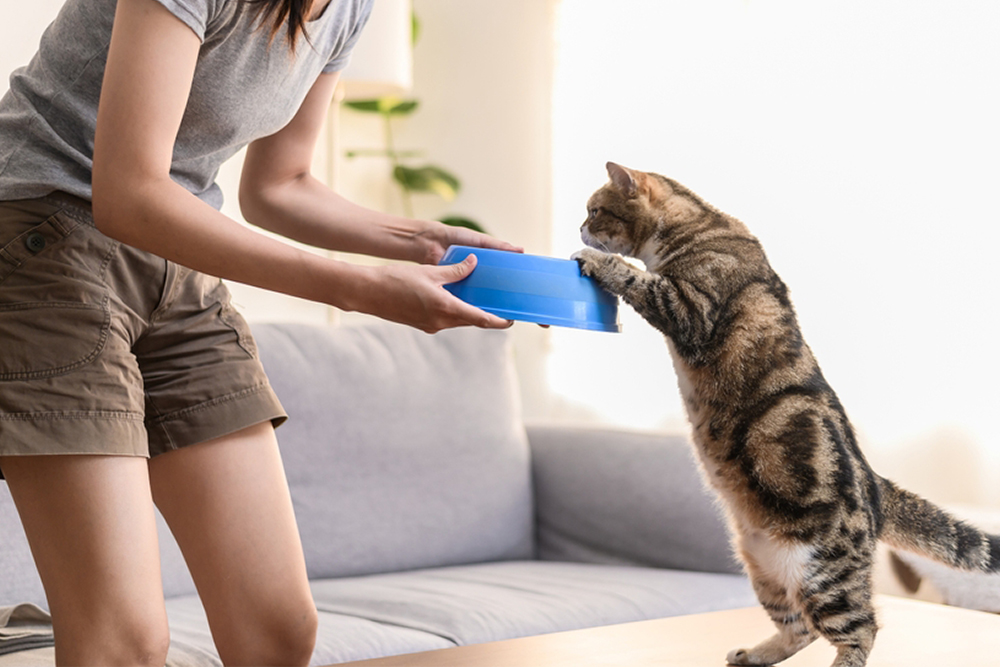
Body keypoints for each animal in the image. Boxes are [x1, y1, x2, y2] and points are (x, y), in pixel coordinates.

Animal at [572, 162, 1000, 667]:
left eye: (595, 211)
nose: (578, 227)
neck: (703, 226)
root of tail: (875, 483)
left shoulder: (691, 309)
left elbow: (638, 279)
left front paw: (595, 260)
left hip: (824, 574)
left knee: (860, 628)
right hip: (763, 566)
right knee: (800, 627)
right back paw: (754, 654)